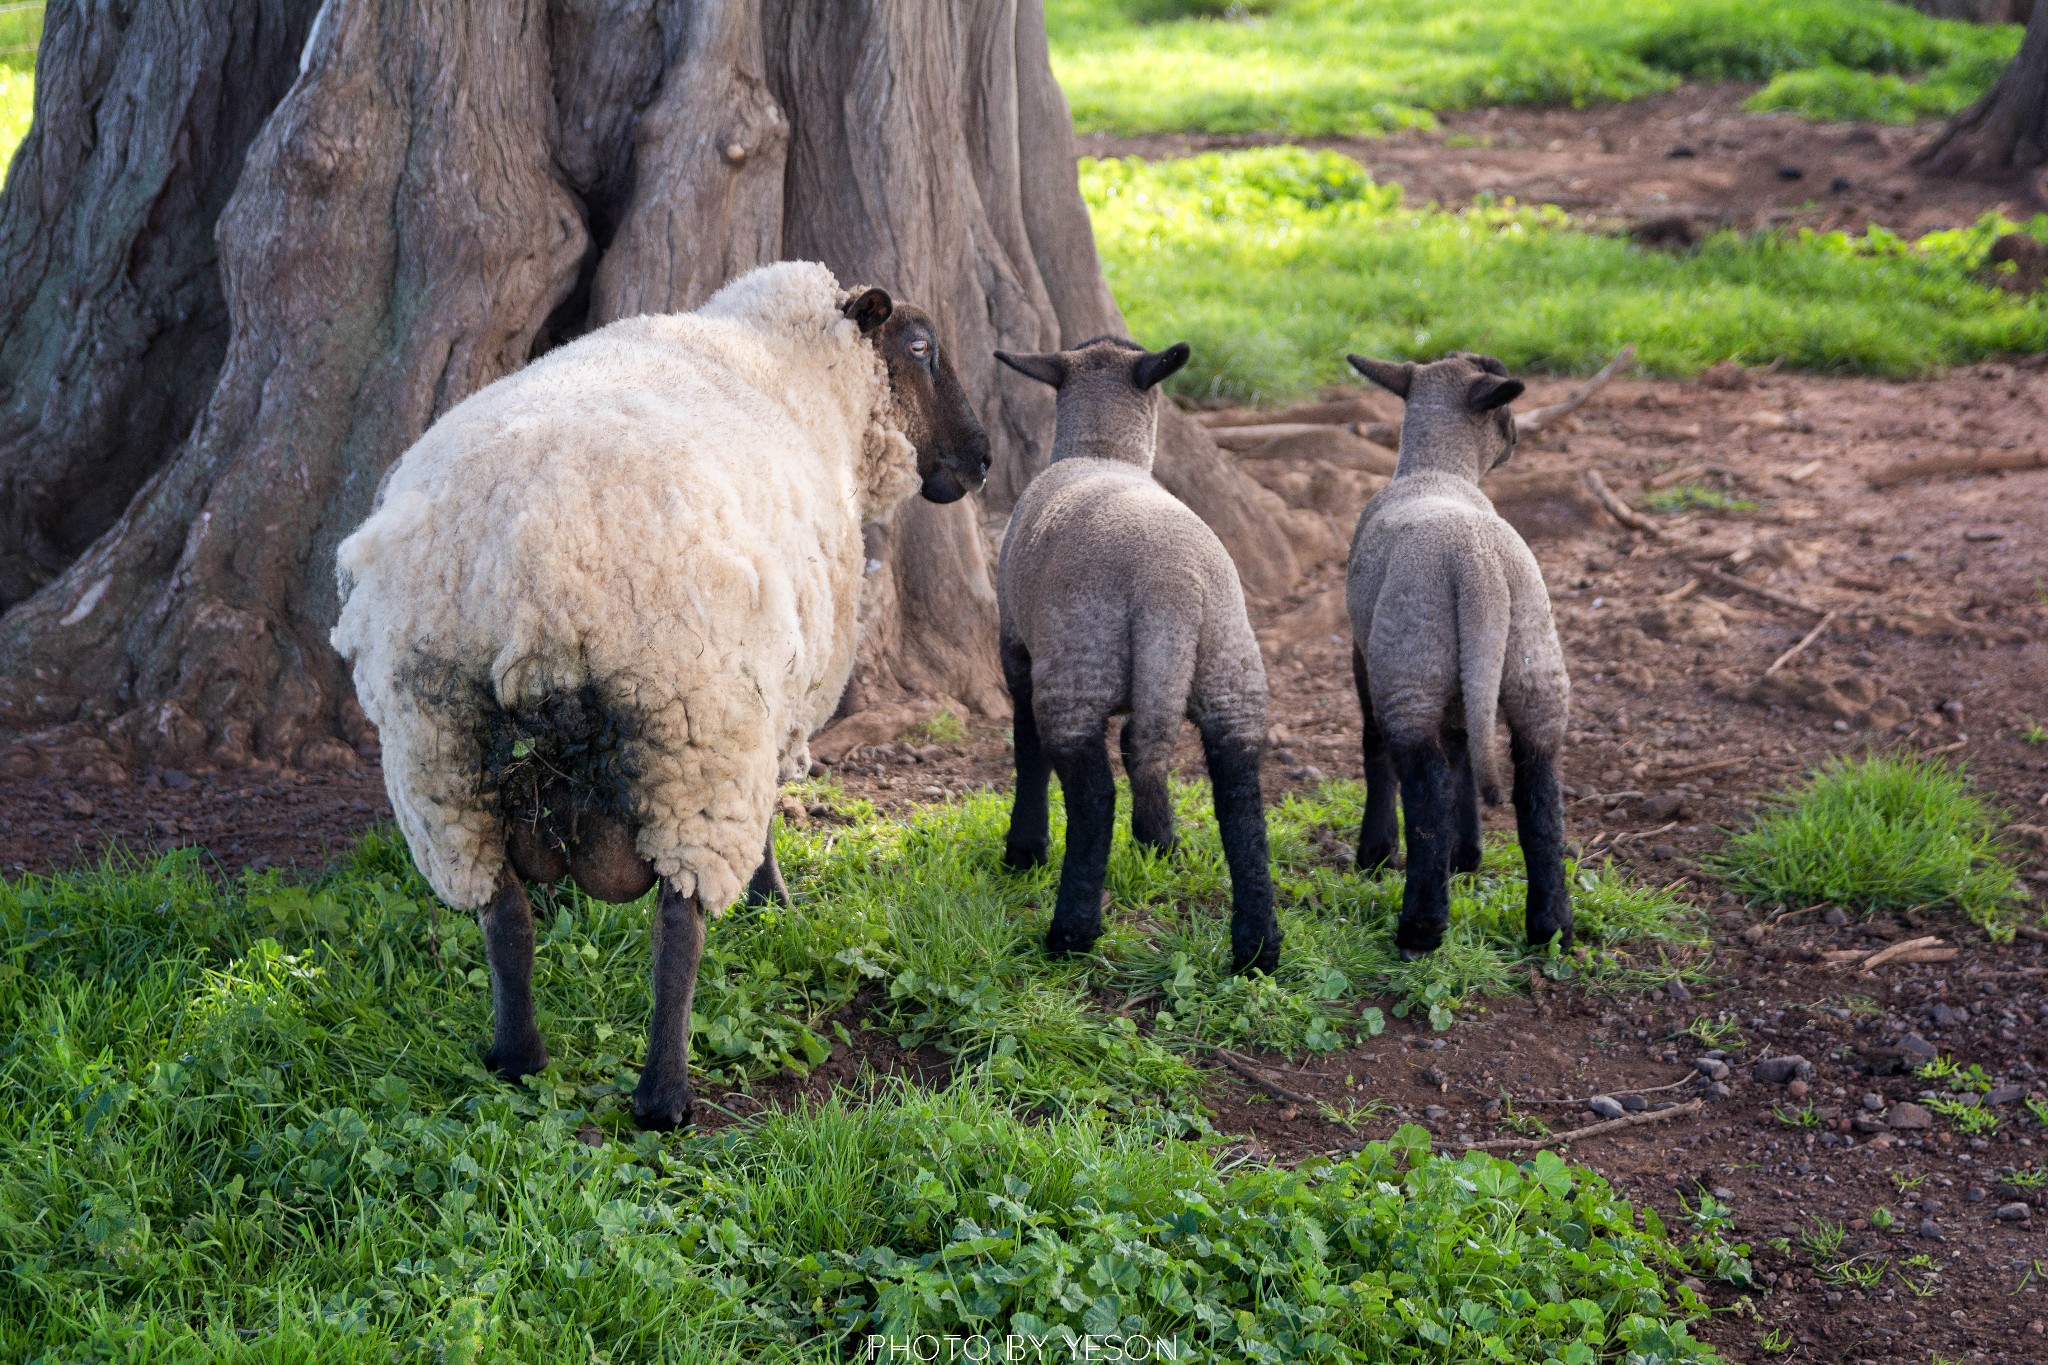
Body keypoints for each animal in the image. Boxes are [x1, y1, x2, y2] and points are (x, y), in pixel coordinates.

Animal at [331, 263, 987, 1129]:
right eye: (921, 348)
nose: (982, 460)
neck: (797, 376)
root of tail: (529, 576)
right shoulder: (777, 700)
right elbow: (769, 816)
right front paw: (773, 902)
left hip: (438, 751)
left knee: (502, 912)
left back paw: (517, 1057)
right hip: (695, 732)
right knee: (679, 924)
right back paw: (664, 1094)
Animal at [991, 335, 1277, 978]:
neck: (1102, 451)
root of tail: (1170, 584)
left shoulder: (1017, 647)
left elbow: (1026, 753)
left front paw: (1025, 850)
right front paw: (1158, 840)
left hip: (1076, 665)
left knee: (1094, 797)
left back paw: (1071, 933)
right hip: (1230, 668)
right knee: (1239, 800)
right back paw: (1257, 946)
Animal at [1343, 349, 1564, 961]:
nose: (1517, 438)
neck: (1437, 469)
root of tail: (1478, 567)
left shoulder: (1364, 652)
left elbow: (1375, 746)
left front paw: (1376, 854)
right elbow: (1466, 747)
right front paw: (1468, 856)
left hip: (1410, 668)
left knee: (1425, 788)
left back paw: (1420, 927)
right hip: (1535, 667)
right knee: (1538, 793)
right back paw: (1550, 927)